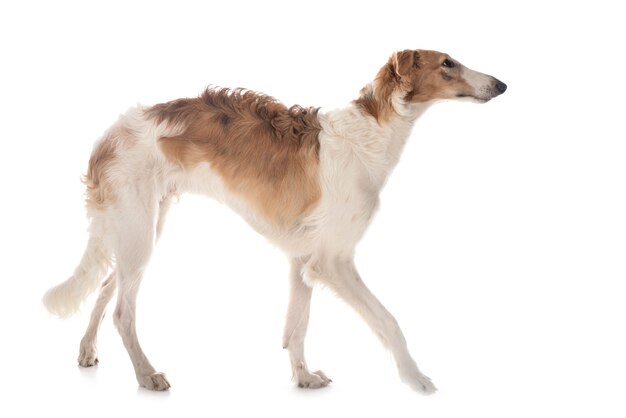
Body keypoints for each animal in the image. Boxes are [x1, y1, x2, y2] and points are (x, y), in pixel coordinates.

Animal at [42, 49, 502, 392]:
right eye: (448, 62)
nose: (502, 84)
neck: (371, 133)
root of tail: (107, 138)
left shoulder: (303, 259)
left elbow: (296, 328)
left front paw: (303, 377)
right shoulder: (333, 260)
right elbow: (388, 321)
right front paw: (416, 378)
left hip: (138, 228)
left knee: (105, 286)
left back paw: (87, 351)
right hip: (138, 230)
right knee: (123, 312)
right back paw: (146, 374)